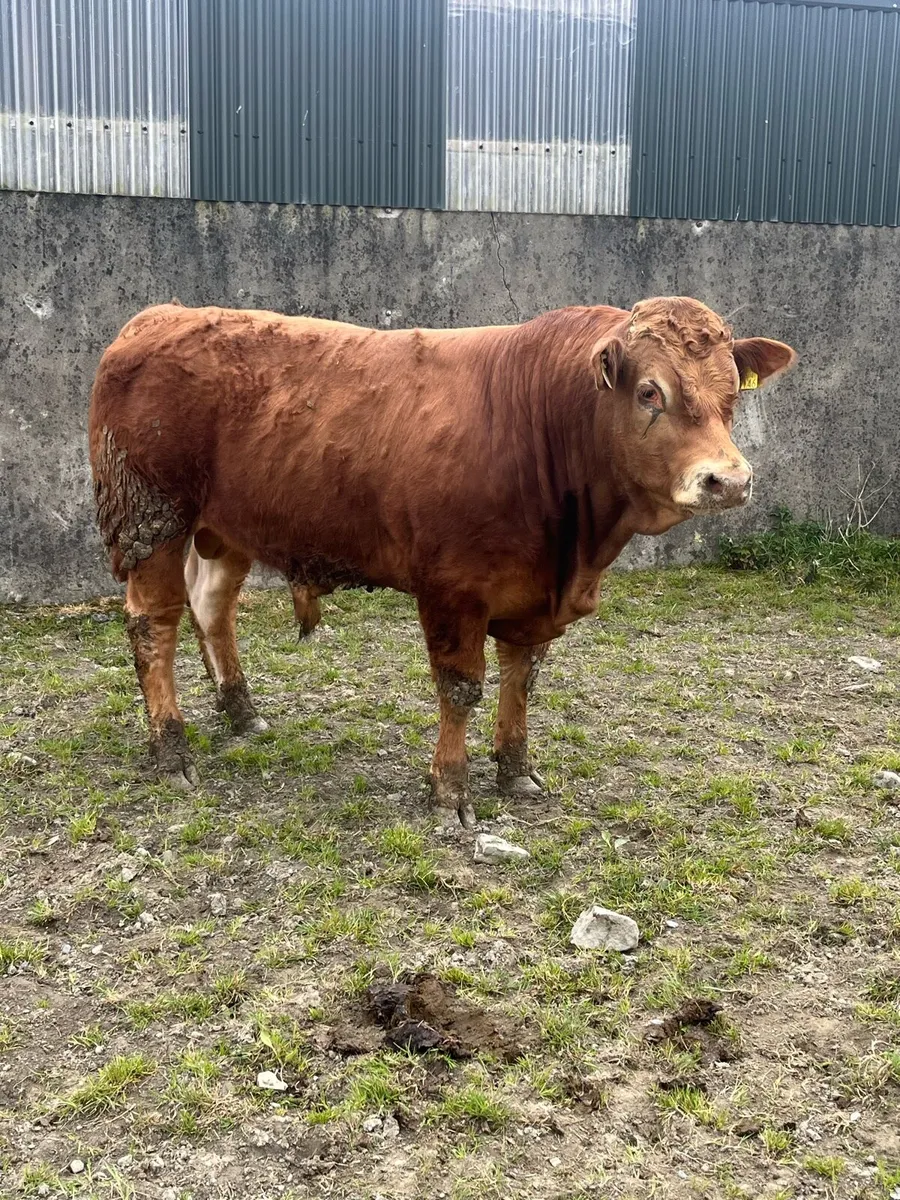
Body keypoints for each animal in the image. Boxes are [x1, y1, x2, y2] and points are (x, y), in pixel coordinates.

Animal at [88, 298, 796, 826]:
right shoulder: (453, 589)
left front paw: (516, 772)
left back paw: (241, 711)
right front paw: (451, 792)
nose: (729, 481)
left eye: (732, 395)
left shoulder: (529, 594)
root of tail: (155, 317)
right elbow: (461, 689)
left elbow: (521, 679)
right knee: (153, 625)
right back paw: (171, 748)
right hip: (151, 521)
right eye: (650, 392)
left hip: (224, 529)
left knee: (212, 607)